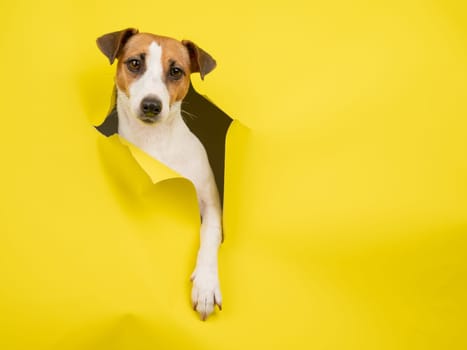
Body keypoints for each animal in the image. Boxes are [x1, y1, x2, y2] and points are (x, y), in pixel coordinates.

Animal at [96, 28, 223, 322]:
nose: (151, 105)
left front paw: (206, 286)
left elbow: (209, 236)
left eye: (176, 71)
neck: (155, 142)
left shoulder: (212, 205)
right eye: (134, 63)